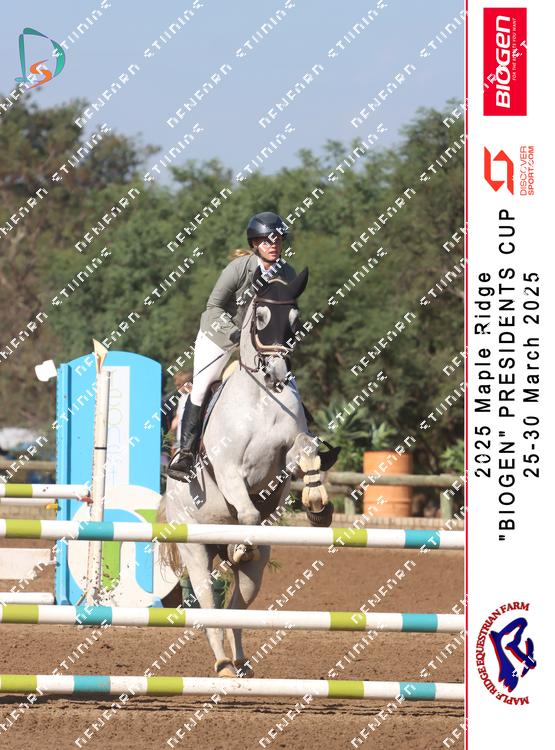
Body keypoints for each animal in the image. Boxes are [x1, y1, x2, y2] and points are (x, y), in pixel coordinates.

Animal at [159, 266, 333, 677]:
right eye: (261, 317)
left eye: (296, 320)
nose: (278, 374)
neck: (262, 397)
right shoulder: (229, 471)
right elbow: (250, 512)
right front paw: (242, 542)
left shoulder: (285, 458)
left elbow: (306, 450)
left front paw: (317, 502)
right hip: (195, 549)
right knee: (208, 605)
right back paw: (223, 662)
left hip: (255, 572)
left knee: (237, 607)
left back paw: (240, 662)